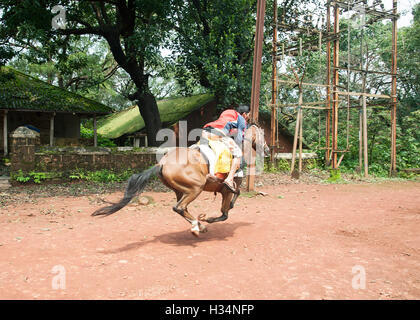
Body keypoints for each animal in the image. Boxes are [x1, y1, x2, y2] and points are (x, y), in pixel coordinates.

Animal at [92, 124, 270, 236]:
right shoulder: (226, 190)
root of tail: (162, 163)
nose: (268, 150)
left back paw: (198, 225)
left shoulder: (224, 190)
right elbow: (226, 212)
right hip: (195, 188)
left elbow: (233, 200)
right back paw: (199, 225)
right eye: (263, 135)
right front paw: (208, 218)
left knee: (180, 208)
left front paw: (205, 219)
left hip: (181, 190)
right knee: (179, 207)